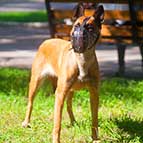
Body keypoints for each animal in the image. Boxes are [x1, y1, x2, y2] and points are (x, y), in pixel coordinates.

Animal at [22, 3, 104, 143]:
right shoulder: (60, 93)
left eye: (90, 28)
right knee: (30, 103)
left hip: (70, 89)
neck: (82, 59)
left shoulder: (94, 94)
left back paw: (73, 121)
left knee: (69, 105)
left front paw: (95, 139)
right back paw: (26, 122)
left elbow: (95, 119)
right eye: (76, 25)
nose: (79, 36)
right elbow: (57, 123)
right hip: (36, 82)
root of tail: (48, 40)